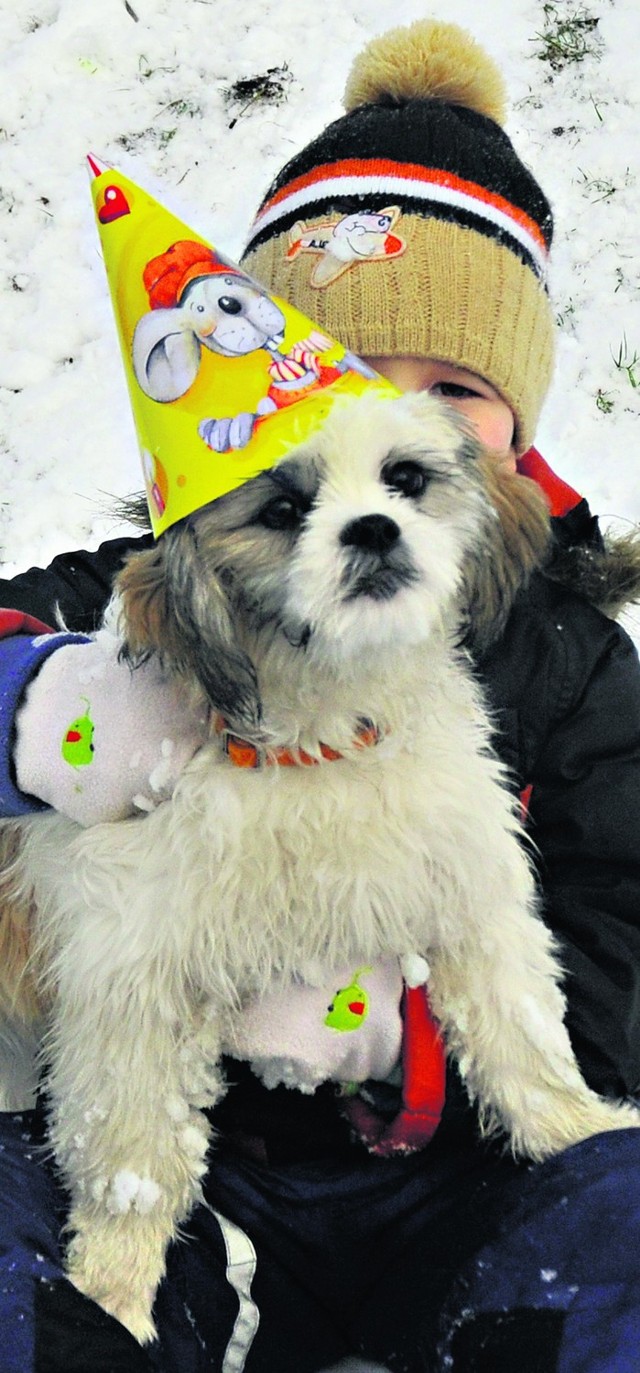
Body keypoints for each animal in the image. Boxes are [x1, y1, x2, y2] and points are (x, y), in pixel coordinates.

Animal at [0, 389, 634, 1340]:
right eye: (281, 509)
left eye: (404, 477)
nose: (374, 528)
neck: (323, 747)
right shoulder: (134, 980)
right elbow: (132, 1156)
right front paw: (114, 1294)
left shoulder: (468, 893)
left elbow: (522, 1036)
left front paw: (578, 1127)